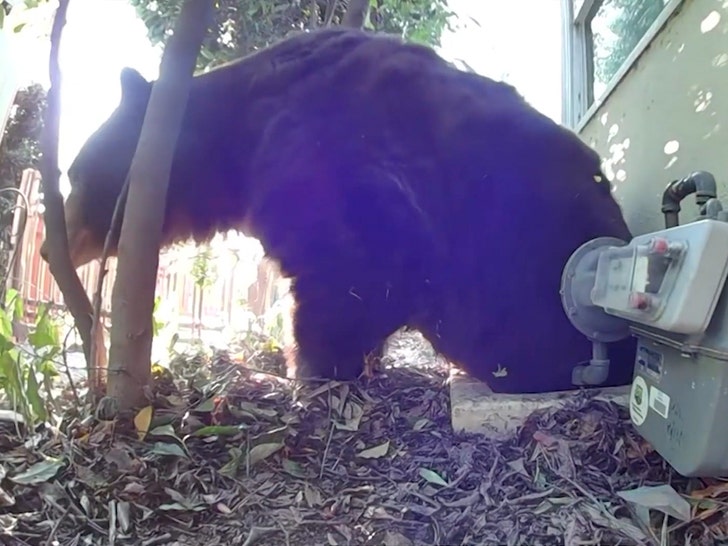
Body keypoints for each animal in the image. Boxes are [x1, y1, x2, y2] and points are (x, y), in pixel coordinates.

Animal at [39, 26, 637, 393]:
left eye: (74, 174)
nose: (49, 246)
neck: (233, 142)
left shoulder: (331, 158)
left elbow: (349, 272)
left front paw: (310, 368)